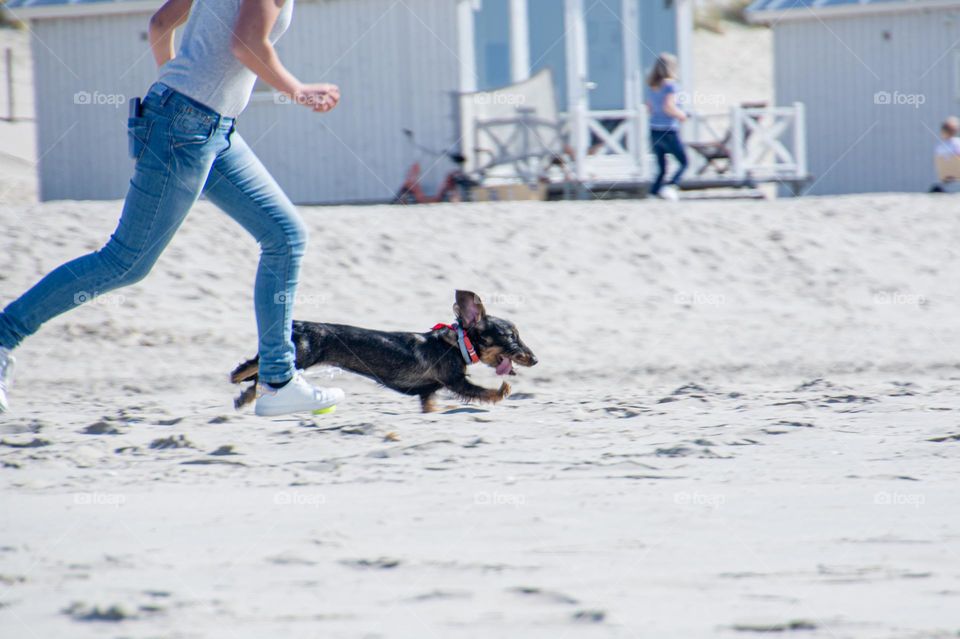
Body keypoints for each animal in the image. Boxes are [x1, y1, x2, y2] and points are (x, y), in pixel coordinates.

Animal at [230, 292, 536, 412]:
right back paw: (239, 380)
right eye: (512, 337)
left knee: (257, 373)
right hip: (303, 355)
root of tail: (299, 324)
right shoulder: (455, 380)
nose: (534, 359)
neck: (456, 344)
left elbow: (430, 406)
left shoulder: (428, 392)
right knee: (258, 369)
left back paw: (241, 390)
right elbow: (482, 392)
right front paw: (503, 390)